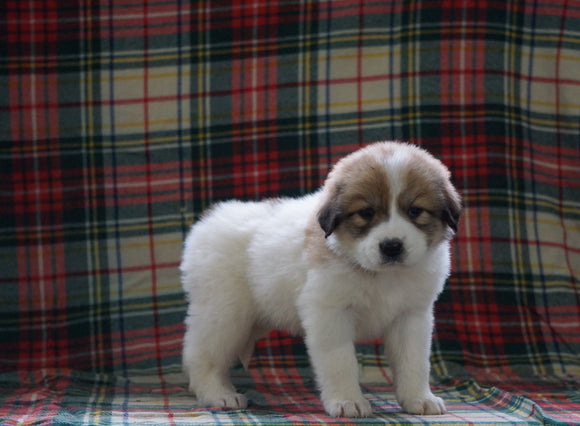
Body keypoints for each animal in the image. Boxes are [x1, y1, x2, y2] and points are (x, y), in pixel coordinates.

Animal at [181, 141, 462, 418]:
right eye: (366, 213)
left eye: (415, 211)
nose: (392, 246)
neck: (381, 275)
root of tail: (208, 222)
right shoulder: (330, 313)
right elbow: (340, 360)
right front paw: (348, 401)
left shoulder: (411, 315)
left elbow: (413, 361)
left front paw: (419, 399)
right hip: (225, 314)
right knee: (202, 354)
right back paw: (219, 394)